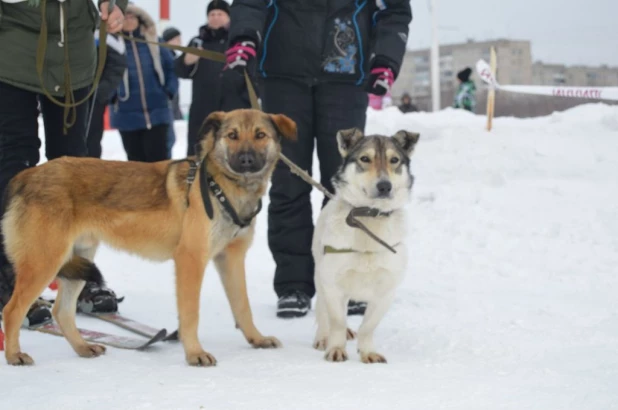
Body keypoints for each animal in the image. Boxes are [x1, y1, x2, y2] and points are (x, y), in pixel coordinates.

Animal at [0, 107, 298, 366]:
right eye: (232, 135)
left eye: (260, 135)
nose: (246, 160)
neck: (221, 187)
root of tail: (27, 174)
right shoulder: (191, 260)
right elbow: (191, 314)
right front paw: (194, 353)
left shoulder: (231, 259)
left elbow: (242, 306)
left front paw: (256, 339)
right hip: (44, 262)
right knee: (12, 310)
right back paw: (15, 355)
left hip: (79, 258)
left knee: (61, 311)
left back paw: (83, 347)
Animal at [310, 127, 422, 362]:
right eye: (365, 159)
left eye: (394, 160)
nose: (384, 186)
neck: (369, 217)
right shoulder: (332, 283)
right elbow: (336, 321)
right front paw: (335, 348)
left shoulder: (386, 290)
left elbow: (368, 326)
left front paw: (368, 352)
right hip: (320, 274)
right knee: (322, 310)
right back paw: (323, 337)